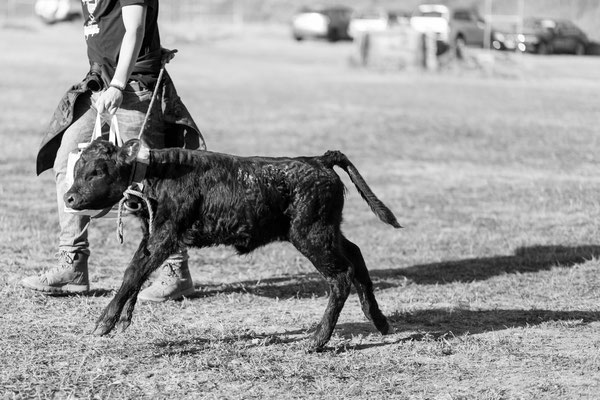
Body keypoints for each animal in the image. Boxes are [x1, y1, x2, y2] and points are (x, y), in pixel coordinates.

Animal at [65, 139, 400, 352]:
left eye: (97, 171)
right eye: (78, 169)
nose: (69, 198)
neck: (158, 173)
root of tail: (318, 160)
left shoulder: (164, 237)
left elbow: (133, 273)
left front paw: (104, 323)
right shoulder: (151, 237)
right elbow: (136, 271)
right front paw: (121, 320)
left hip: (312, 235)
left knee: (341, 277)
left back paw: (317, 341)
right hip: (328, 232)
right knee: (355, 255)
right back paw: (379, 320)